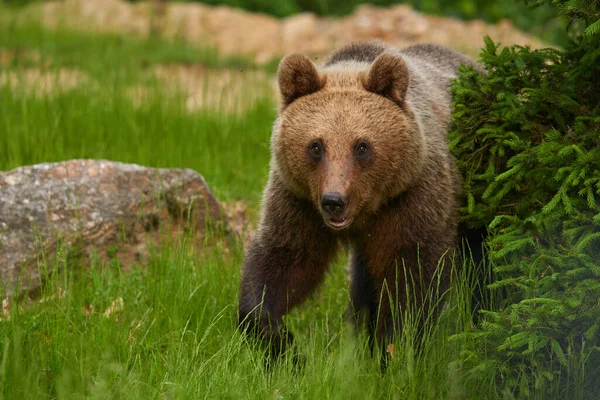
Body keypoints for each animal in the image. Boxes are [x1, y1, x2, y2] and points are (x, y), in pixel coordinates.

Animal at [239, 40, 478, 366]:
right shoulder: (299, 201)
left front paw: (395, 349)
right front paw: (285, 346)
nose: (334, 201)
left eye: (362, 146)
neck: (368, 210)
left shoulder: (413, 197)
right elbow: (284, 259)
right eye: (316, 146)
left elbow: (414, 276)